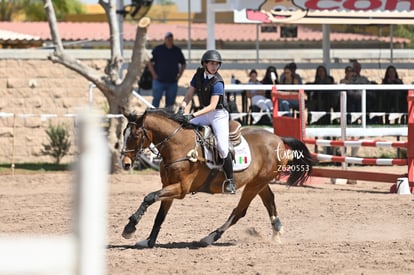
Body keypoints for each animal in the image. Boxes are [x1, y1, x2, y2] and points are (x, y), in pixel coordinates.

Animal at [121, 109, 312, 249]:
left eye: (135, 135)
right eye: (124, 133)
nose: (125, 163)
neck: (178, 145)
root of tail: (279, 139)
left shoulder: (180, 189)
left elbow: (149, 197)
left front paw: (130, 228)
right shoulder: (168, 186)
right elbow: (160, 215)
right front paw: (149, 241)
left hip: (255, 185)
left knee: (239, 212)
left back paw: (210, 237)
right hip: (259, 182)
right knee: (269, 201)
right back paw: (277, 234)